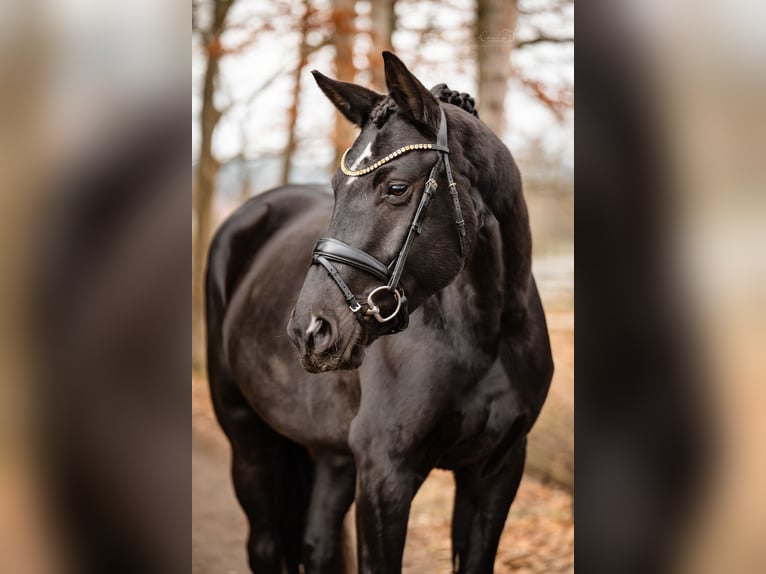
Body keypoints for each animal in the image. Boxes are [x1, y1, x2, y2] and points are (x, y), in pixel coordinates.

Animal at [205, 52, 553, 574]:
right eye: (335, 187)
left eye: (396, 187)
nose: (311, 329)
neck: (483, 335)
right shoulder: (385, 472)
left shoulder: (496, 470)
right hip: (248, 438)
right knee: (265, 545)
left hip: (331, 456)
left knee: (318, 546)